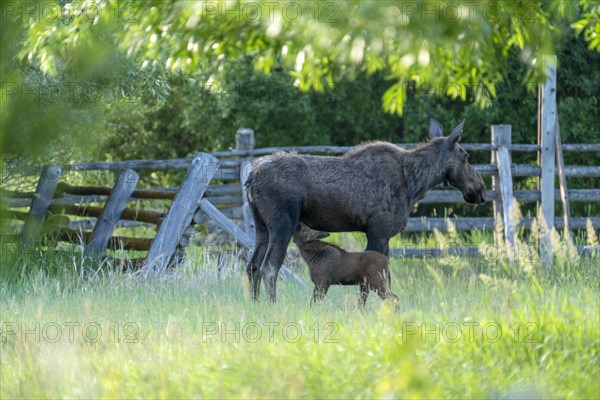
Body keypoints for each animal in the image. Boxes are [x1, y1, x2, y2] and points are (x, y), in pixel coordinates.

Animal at [246, 119, 486, 300]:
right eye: (466, 156)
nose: (480, 190)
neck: (415, 185)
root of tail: (251, 177)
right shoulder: (379, 231)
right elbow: (370, 282)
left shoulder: (383, 236)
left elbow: (384, 279)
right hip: (282, 224)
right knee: (269, 268)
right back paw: (272, 306)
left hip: (261, 226)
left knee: (252, 267)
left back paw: (256, 305)